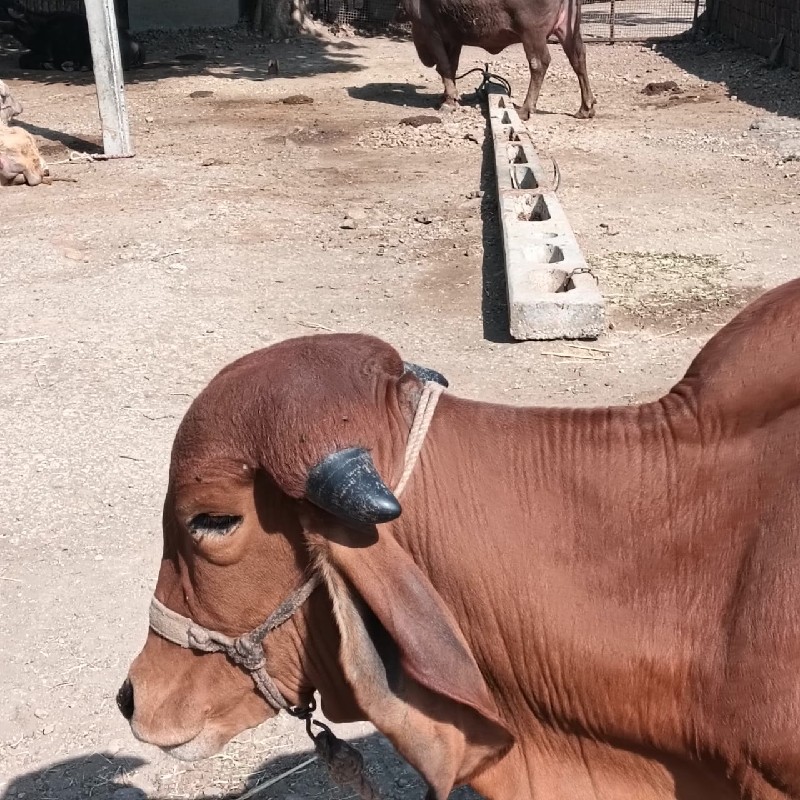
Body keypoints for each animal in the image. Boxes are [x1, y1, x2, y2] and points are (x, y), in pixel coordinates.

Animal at [400, 0, 592, 119]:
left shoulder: (430, 30)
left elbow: (444, 66)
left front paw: (449, 102)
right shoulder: (454, 38)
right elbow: (452, 66)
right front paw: (446, 97)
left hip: (532, 33)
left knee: (539, 63)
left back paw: (525, 109)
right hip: (567, 30)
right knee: (578, 59)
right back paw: (586, 108)